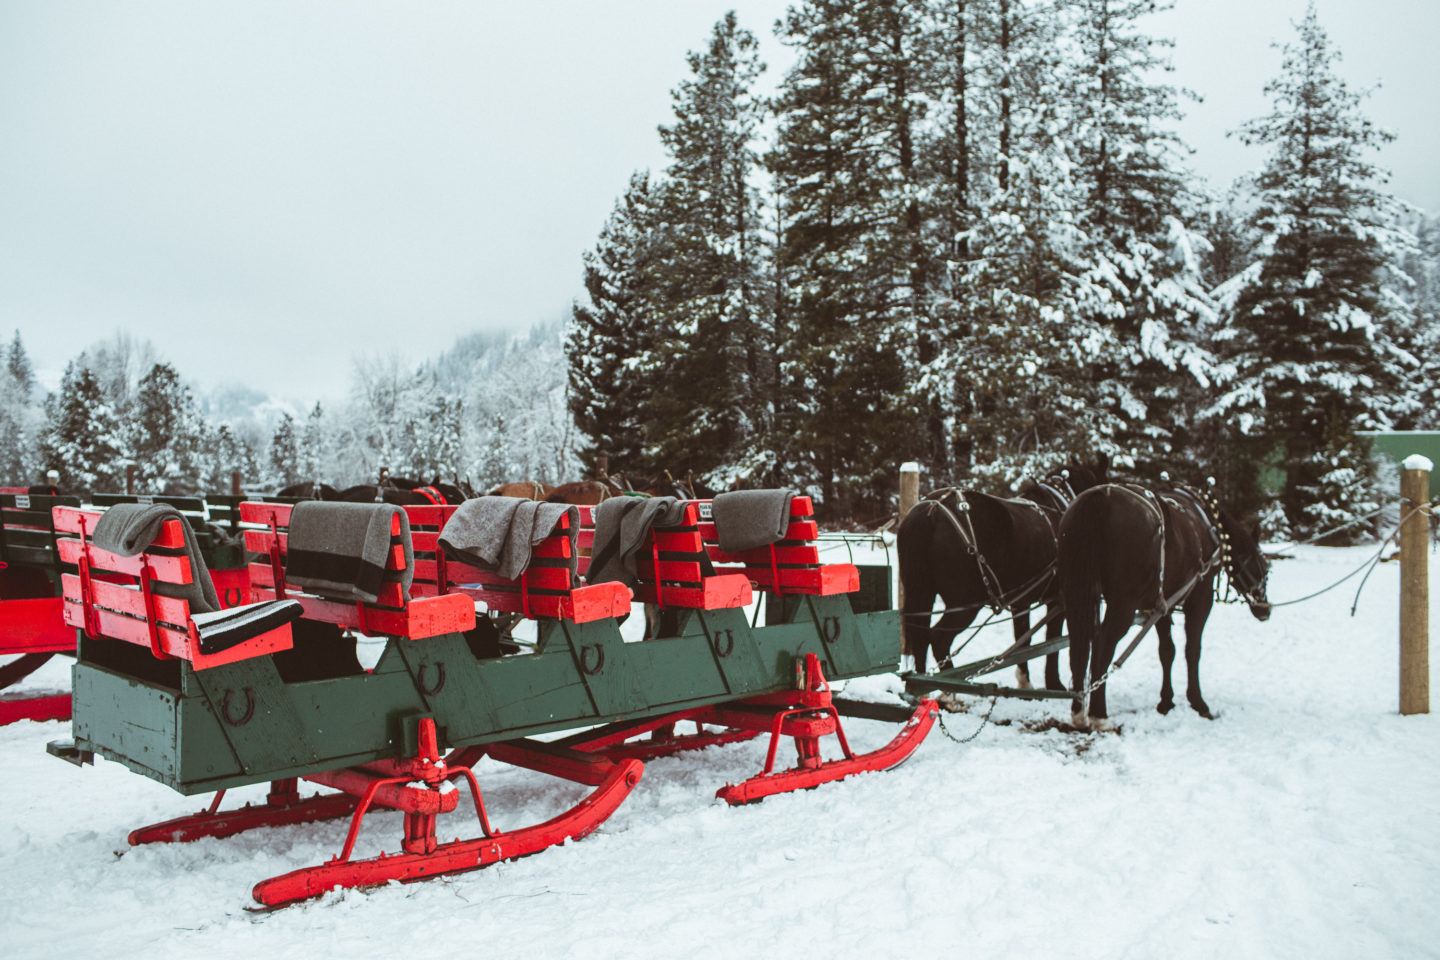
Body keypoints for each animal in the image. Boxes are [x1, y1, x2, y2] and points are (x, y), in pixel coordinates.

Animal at [1059, 480, 1272, 728]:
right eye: (1264, 566)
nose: (1265, 609)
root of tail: (1101, 497)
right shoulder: (1201, 595)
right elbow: (1192, 649)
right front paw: (1198, 701)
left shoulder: (1162, 602)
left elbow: (1167, 651)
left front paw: (1166, 701)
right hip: (1123, 603)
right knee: (1103, 644)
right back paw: (1098, 713)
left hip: (1075, 592)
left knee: (1079, 643)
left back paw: (1078, 709)